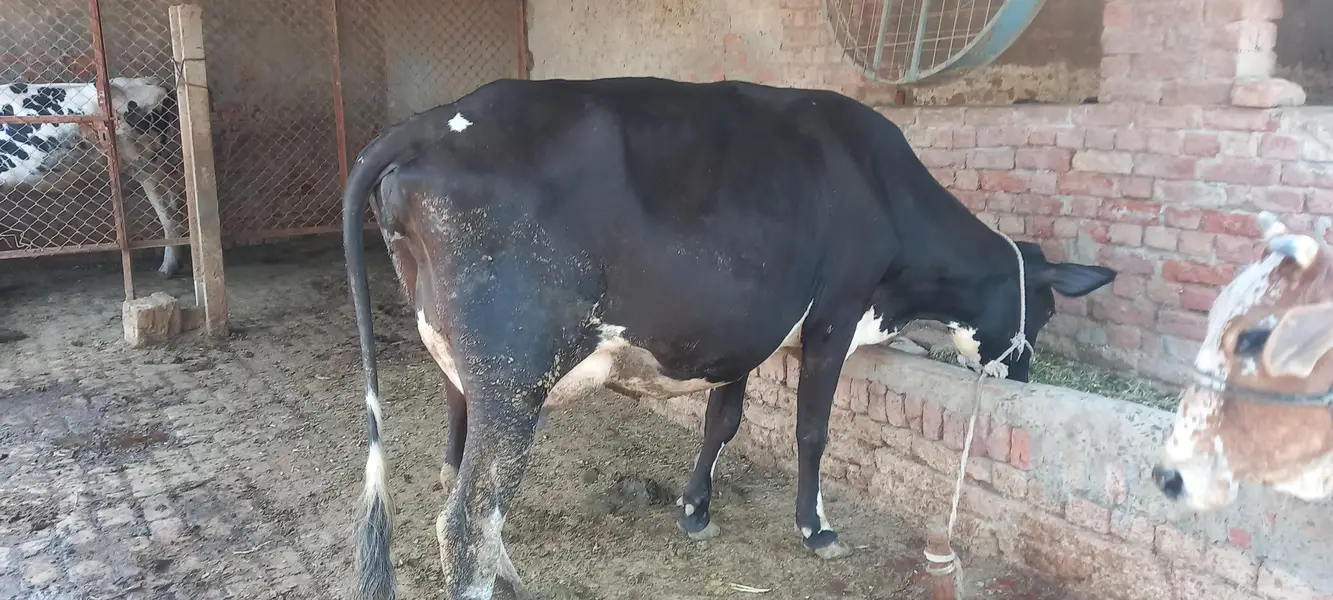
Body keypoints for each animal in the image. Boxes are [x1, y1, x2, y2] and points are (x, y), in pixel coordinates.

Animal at [340, 76, 1118, 600]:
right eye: (1045, 312)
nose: (1023, 379)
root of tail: (429, 123)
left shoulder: (741, 328)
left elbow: (723, 419)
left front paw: (695, 511)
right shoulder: (834, 314)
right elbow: (811, 431)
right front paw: (816, 529)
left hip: (462, 369)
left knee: (462, 482)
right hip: (513, 376)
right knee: (467, 519)